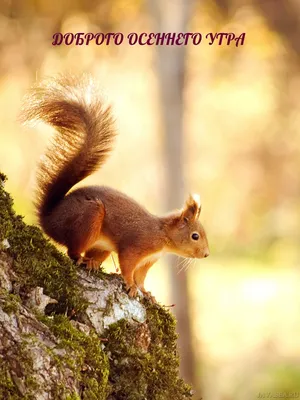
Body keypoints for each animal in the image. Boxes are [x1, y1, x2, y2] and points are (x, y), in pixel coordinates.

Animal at [21, 75, 209, 300]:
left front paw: (146, 292)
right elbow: (128, 266)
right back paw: (82, 259)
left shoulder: (148, 260)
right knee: (72, 251)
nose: (206, 254)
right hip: (88, 218)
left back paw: (92, 262)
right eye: (195, 236)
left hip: (102, 245)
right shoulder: (136, 247)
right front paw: (130, 285)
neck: (162, 236)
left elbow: (141, 277)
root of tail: (49, 219)